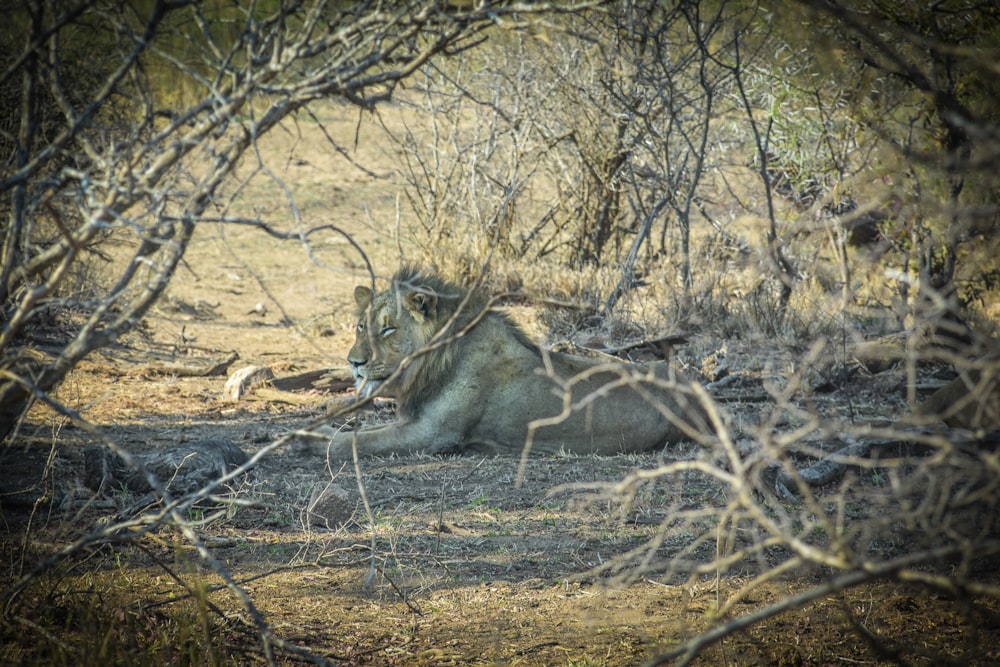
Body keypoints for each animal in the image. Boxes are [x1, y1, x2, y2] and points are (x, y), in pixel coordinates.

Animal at [304, 266, 712, 460]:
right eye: (361, 326)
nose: (354, 362)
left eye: (388, 329)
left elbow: (361, 441)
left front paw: (311, 440)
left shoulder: (432, 434)